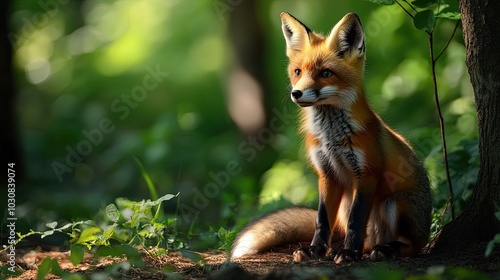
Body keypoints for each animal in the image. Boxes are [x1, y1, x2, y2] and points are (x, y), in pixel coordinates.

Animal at [232, 12, 432, 262]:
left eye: (326, 73)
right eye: (298, 72)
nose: (296, 93)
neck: (332, 139)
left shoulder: (367, 173)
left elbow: (357, 221)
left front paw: (349, 253)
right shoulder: (327, 174)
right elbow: (322, 220)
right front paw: (315, 250)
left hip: (395, 203)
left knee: (410, 245)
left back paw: (385, 249)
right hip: (348, 206)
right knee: (360, 238)